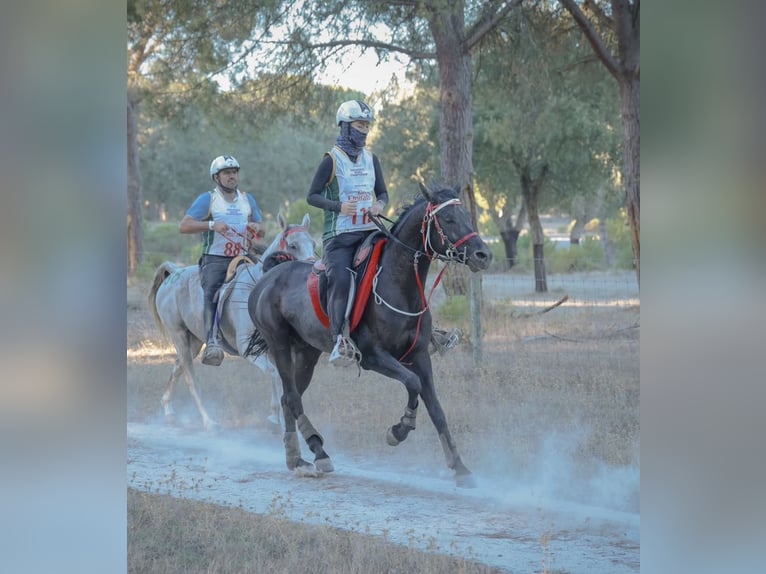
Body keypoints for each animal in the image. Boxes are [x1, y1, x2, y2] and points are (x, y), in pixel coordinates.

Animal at [148, 212, 317, 431]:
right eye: (293, 245)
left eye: (313, 243)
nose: (312, 269)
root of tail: (174, 272)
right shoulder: (247, 347)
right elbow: (274, 374)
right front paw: (274, 418)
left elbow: (284, 379)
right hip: (178, 335)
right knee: (190, 377)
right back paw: (209, 421)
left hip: (194, 341)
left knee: (177, 367)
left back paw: (168, 410)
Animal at [246, 184, 492, 487]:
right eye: (448, 219)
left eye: (466, 215)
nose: (483, 255)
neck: (398, 284)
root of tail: (266, 279)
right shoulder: (374, 357)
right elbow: (412, 384)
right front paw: (399, 430)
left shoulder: (420, 355)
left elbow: (436, 408)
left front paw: (460, 467)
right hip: (279, 344)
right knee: (291, 398)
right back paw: (319, 452)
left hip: (306, 353)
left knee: (288, 398)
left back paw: (296, 458)